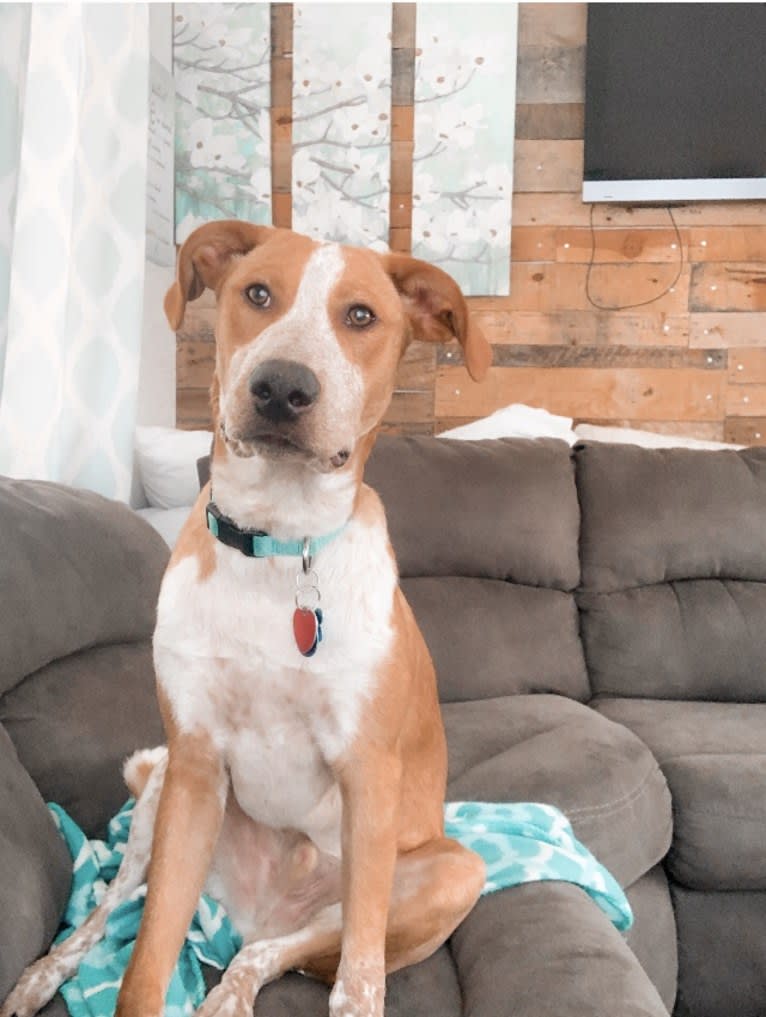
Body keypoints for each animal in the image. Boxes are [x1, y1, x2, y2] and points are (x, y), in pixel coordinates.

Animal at [1, 222, 490, 1016]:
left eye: (361, 316)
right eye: (257, 294)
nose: (283, 386)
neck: (280, 543)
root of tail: (256, 910)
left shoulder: (368, 779)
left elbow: (359, 980)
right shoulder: (196, 761)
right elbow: (143, 964)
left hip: (446, 871)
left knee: (274, 950)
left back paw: (230, 990)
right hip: (163, 789)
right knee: (109, 909)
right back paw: (47, 972)